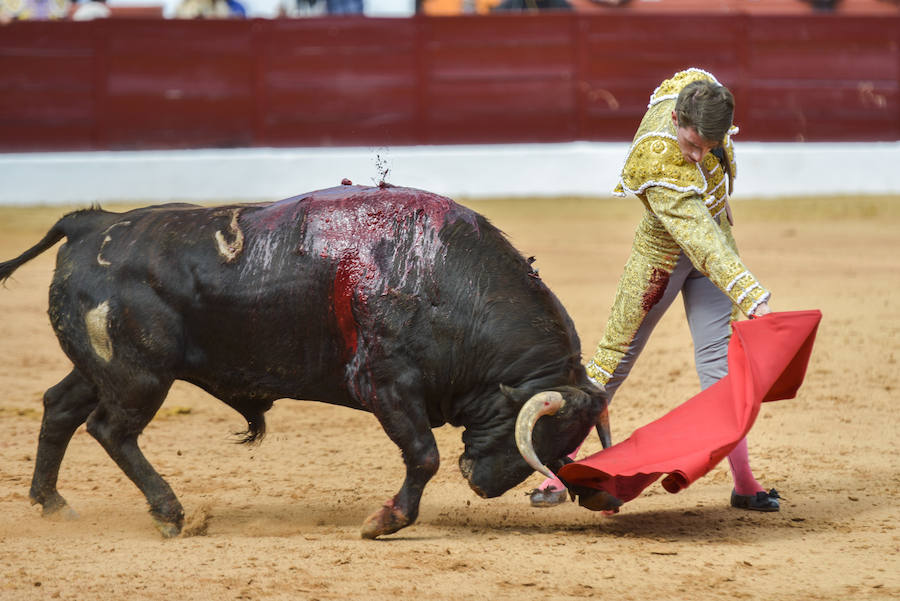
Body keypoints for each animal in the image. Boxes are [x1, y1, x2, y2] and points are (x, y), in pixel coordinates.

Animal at [0, 183, 616, 540]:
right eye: (540, 432)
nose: (485, 486)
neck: (447, 283)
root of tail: (91, 223)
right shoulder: (386, 384)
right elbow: (423, 456)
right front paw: (383, 522)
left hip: (99, 369)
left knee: (59, 408)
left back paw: (52, 503)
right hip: (140, 375)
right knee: (110, 429)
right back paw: (170, 513)